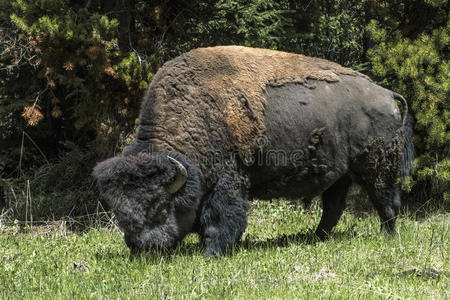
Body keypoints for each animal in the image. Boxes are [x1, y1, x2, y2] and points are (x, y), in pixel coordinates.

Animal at [93, 45, 414, 256]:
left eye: (160, 207)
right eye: (120, 213)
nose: (143, 249)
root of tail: (387, 94)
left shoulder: (228, 181)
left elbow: (221, 217)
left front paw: (213, 252)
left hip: (376, 167)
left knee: (385, 201)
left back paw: (387, 237)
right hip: (340, 174)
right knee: (334, 207)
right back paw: (316, 237)